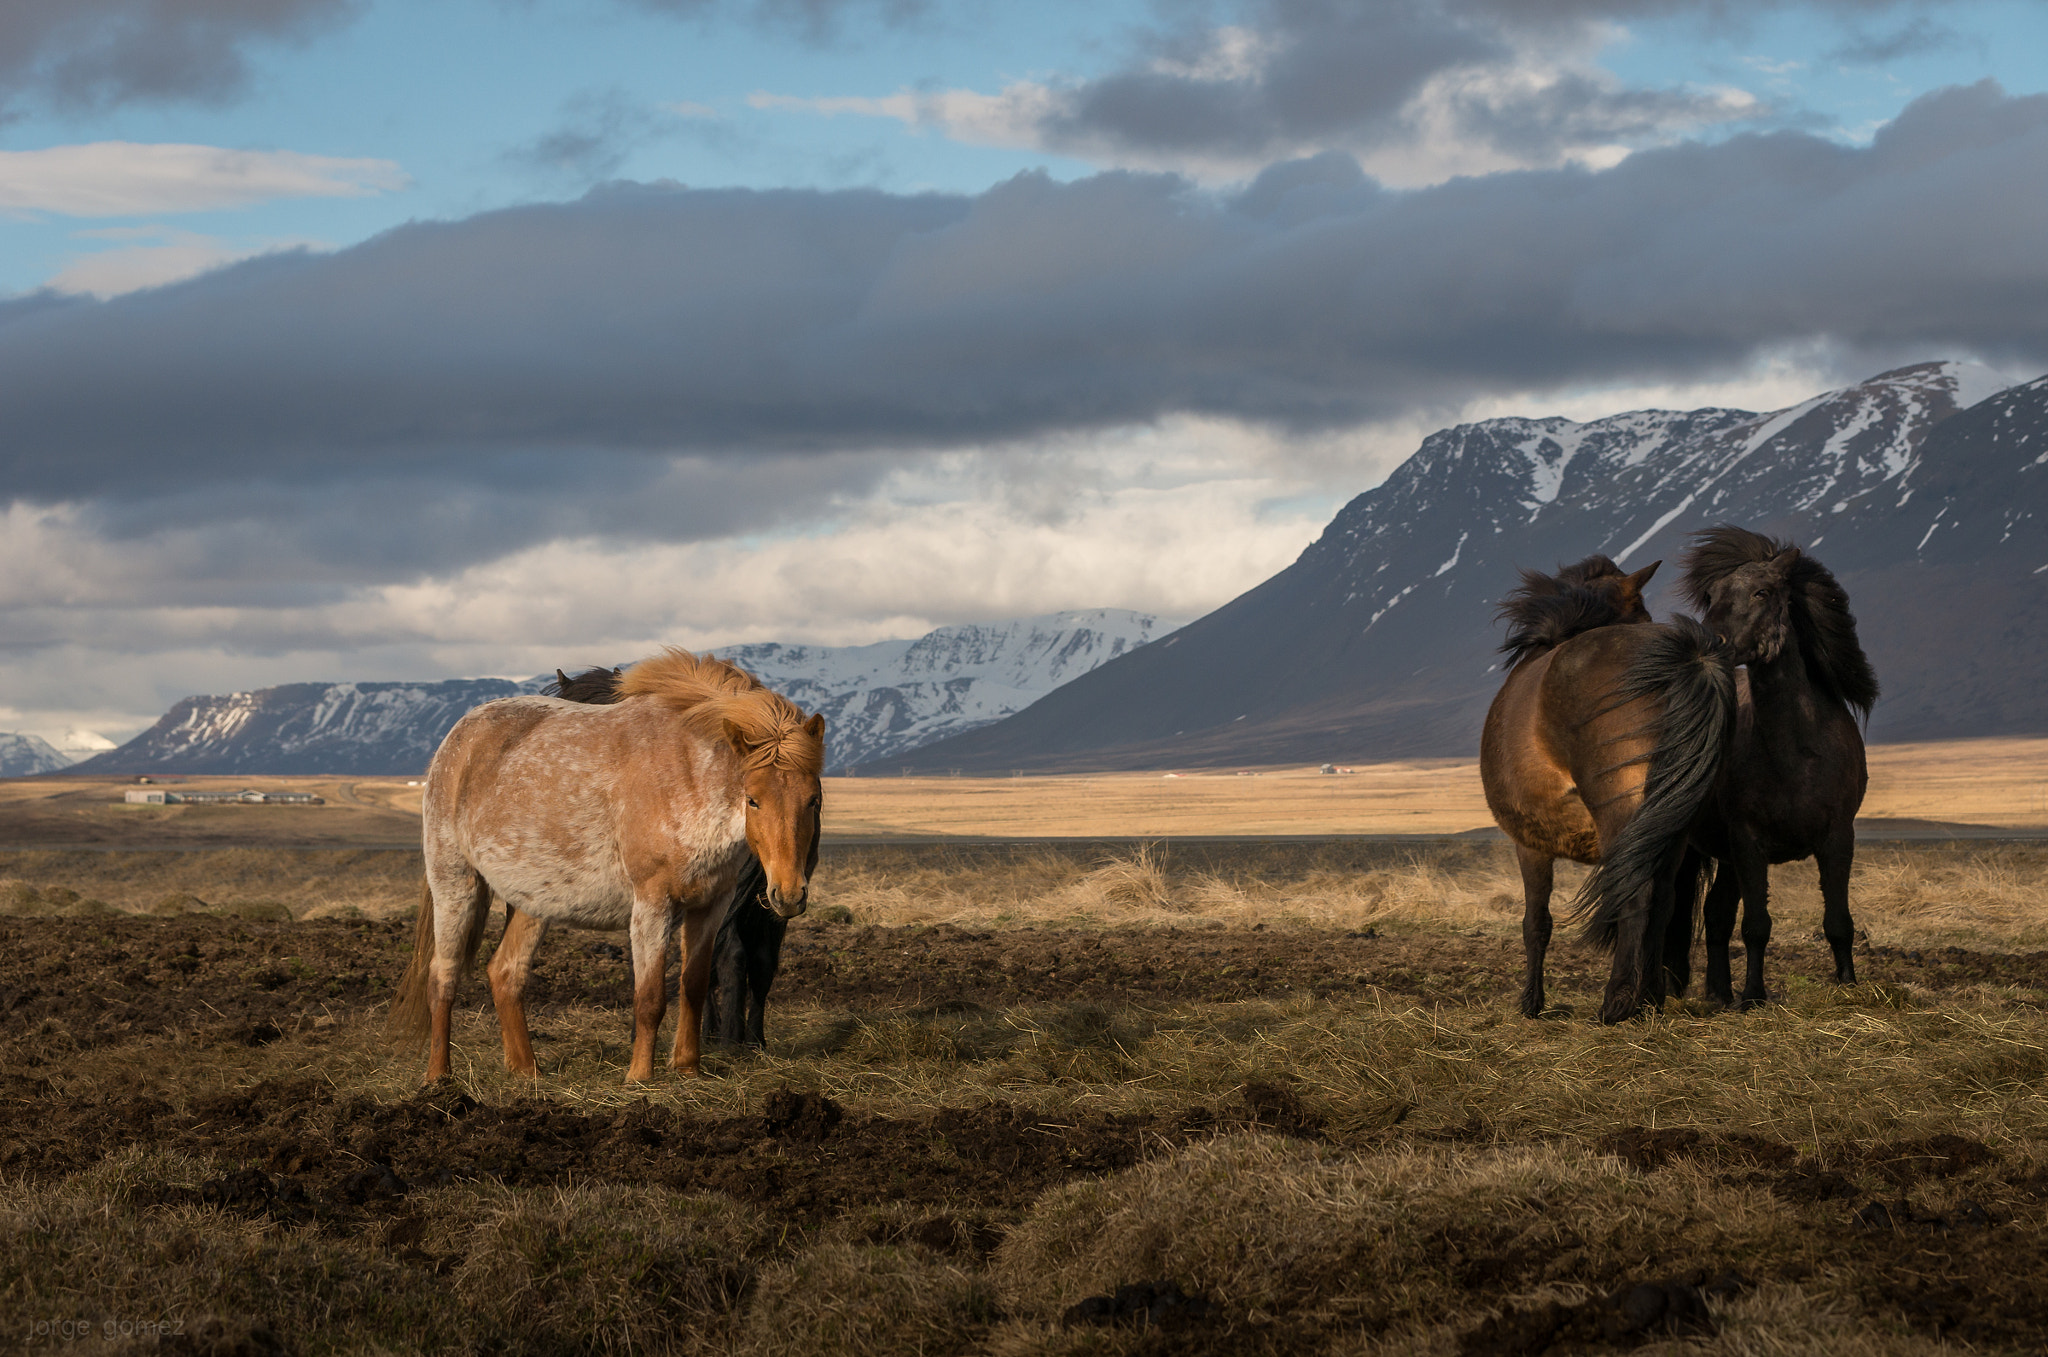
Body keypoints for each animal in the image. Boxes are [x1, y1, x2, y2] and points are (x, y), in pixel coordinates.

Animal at [391, 646, 823, 1080]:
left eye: (813, 799)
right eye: (753, 799)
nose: (788, 894)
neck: (685, 771)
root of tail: (458, 737)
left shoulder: (710, 905)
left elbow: (695, 986)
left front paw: (688, 1069)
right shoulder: (652, 903)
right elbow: (649, 997)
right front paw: (639, 1076)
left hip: (532, 901)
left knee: (506, 972)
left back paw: (527, 1071)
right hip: (455, 884)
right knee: (442, 977)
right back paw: (439, 1077)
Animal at [1482, 556, 1736, 1023]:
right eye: (1643, 613)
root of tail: (1688, 656)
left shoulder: (1530, 842)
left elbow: (1536, 922)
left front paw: (1531, 1002)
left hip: (1623, 815)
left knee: (1637, 894)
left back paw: (1617, 1001)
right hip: (1671, 825)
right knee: (1663, 900)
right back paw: (1649, 996)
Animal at [1671, 523, 1875, 1015]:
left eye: (1763, 592)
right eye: (1712, 594)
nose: (1710, 646)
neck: (1796, 754)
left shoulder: (1837, 837)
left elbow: (1837, 919)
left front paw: (1847, 984)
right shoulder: (1749, 842)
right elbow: (1756, 926)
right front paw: (1753, 996)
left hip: (1725, 857)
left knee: (1717, 915)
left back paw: (1719, 993)